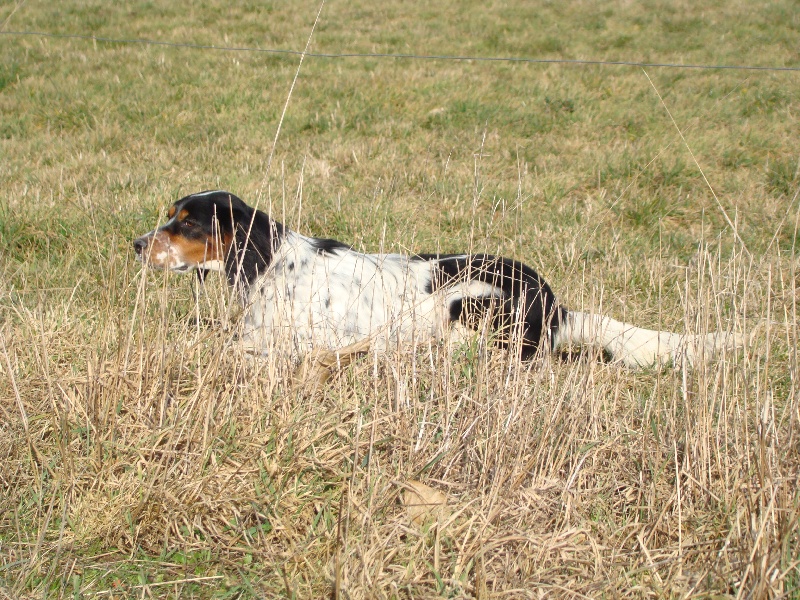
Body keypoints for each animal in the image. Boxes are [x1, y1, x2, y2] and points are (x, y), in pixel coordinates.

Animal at [133, 190, 744, 376]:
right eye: (169, 216)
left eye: (186, 223)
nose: (137, 244)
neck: (272, 263)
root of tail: (554, 302)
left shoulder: (292, 340)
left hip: (462, 306)